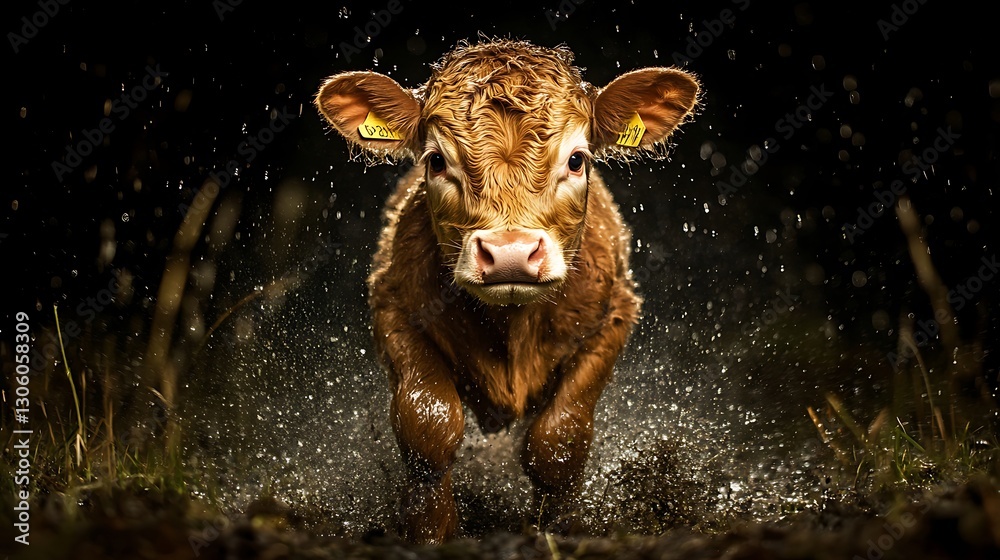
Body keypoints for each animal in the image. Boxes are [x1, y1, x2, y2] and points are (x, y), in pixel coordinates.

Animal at [315, 39, 698, 543]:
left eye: (576, 159)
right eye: (436, 161)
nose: (511, 253)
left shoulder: (614, 315)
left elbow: (559, 440)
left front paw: (557, 528)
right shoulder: (393, 309)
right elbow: (429, 423)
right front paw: (432, 532)